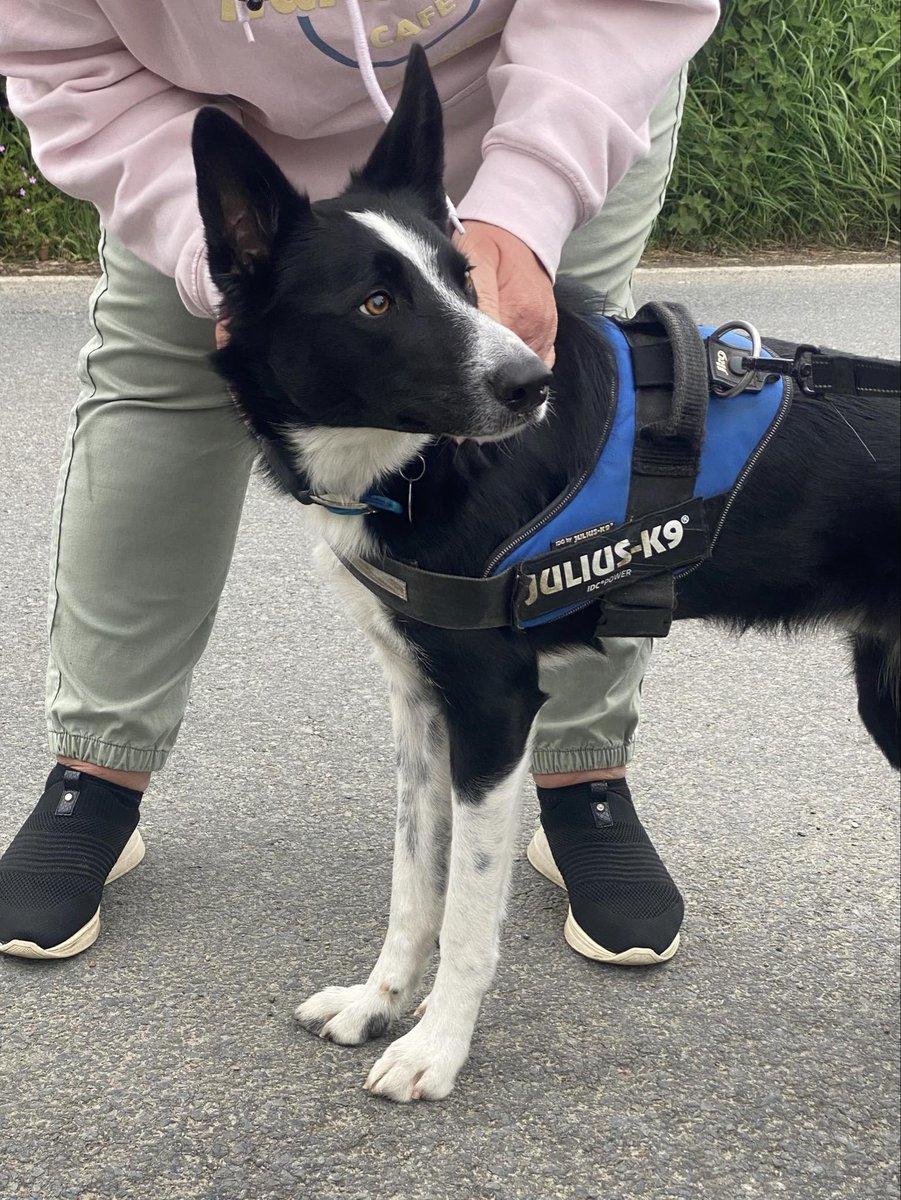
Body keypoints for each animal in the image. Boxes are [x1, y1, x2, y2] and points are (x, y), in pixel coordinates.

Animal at [190, 46, 897, 1099]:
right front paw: (378, 1003)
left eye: (463, 277)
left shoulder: (493, 710)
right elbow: (413, 887)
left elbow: (466, 919)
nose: (531, 384)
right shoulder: (420, 707)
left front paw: (436, 1048)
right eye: (374, 302)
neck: (418, 468)